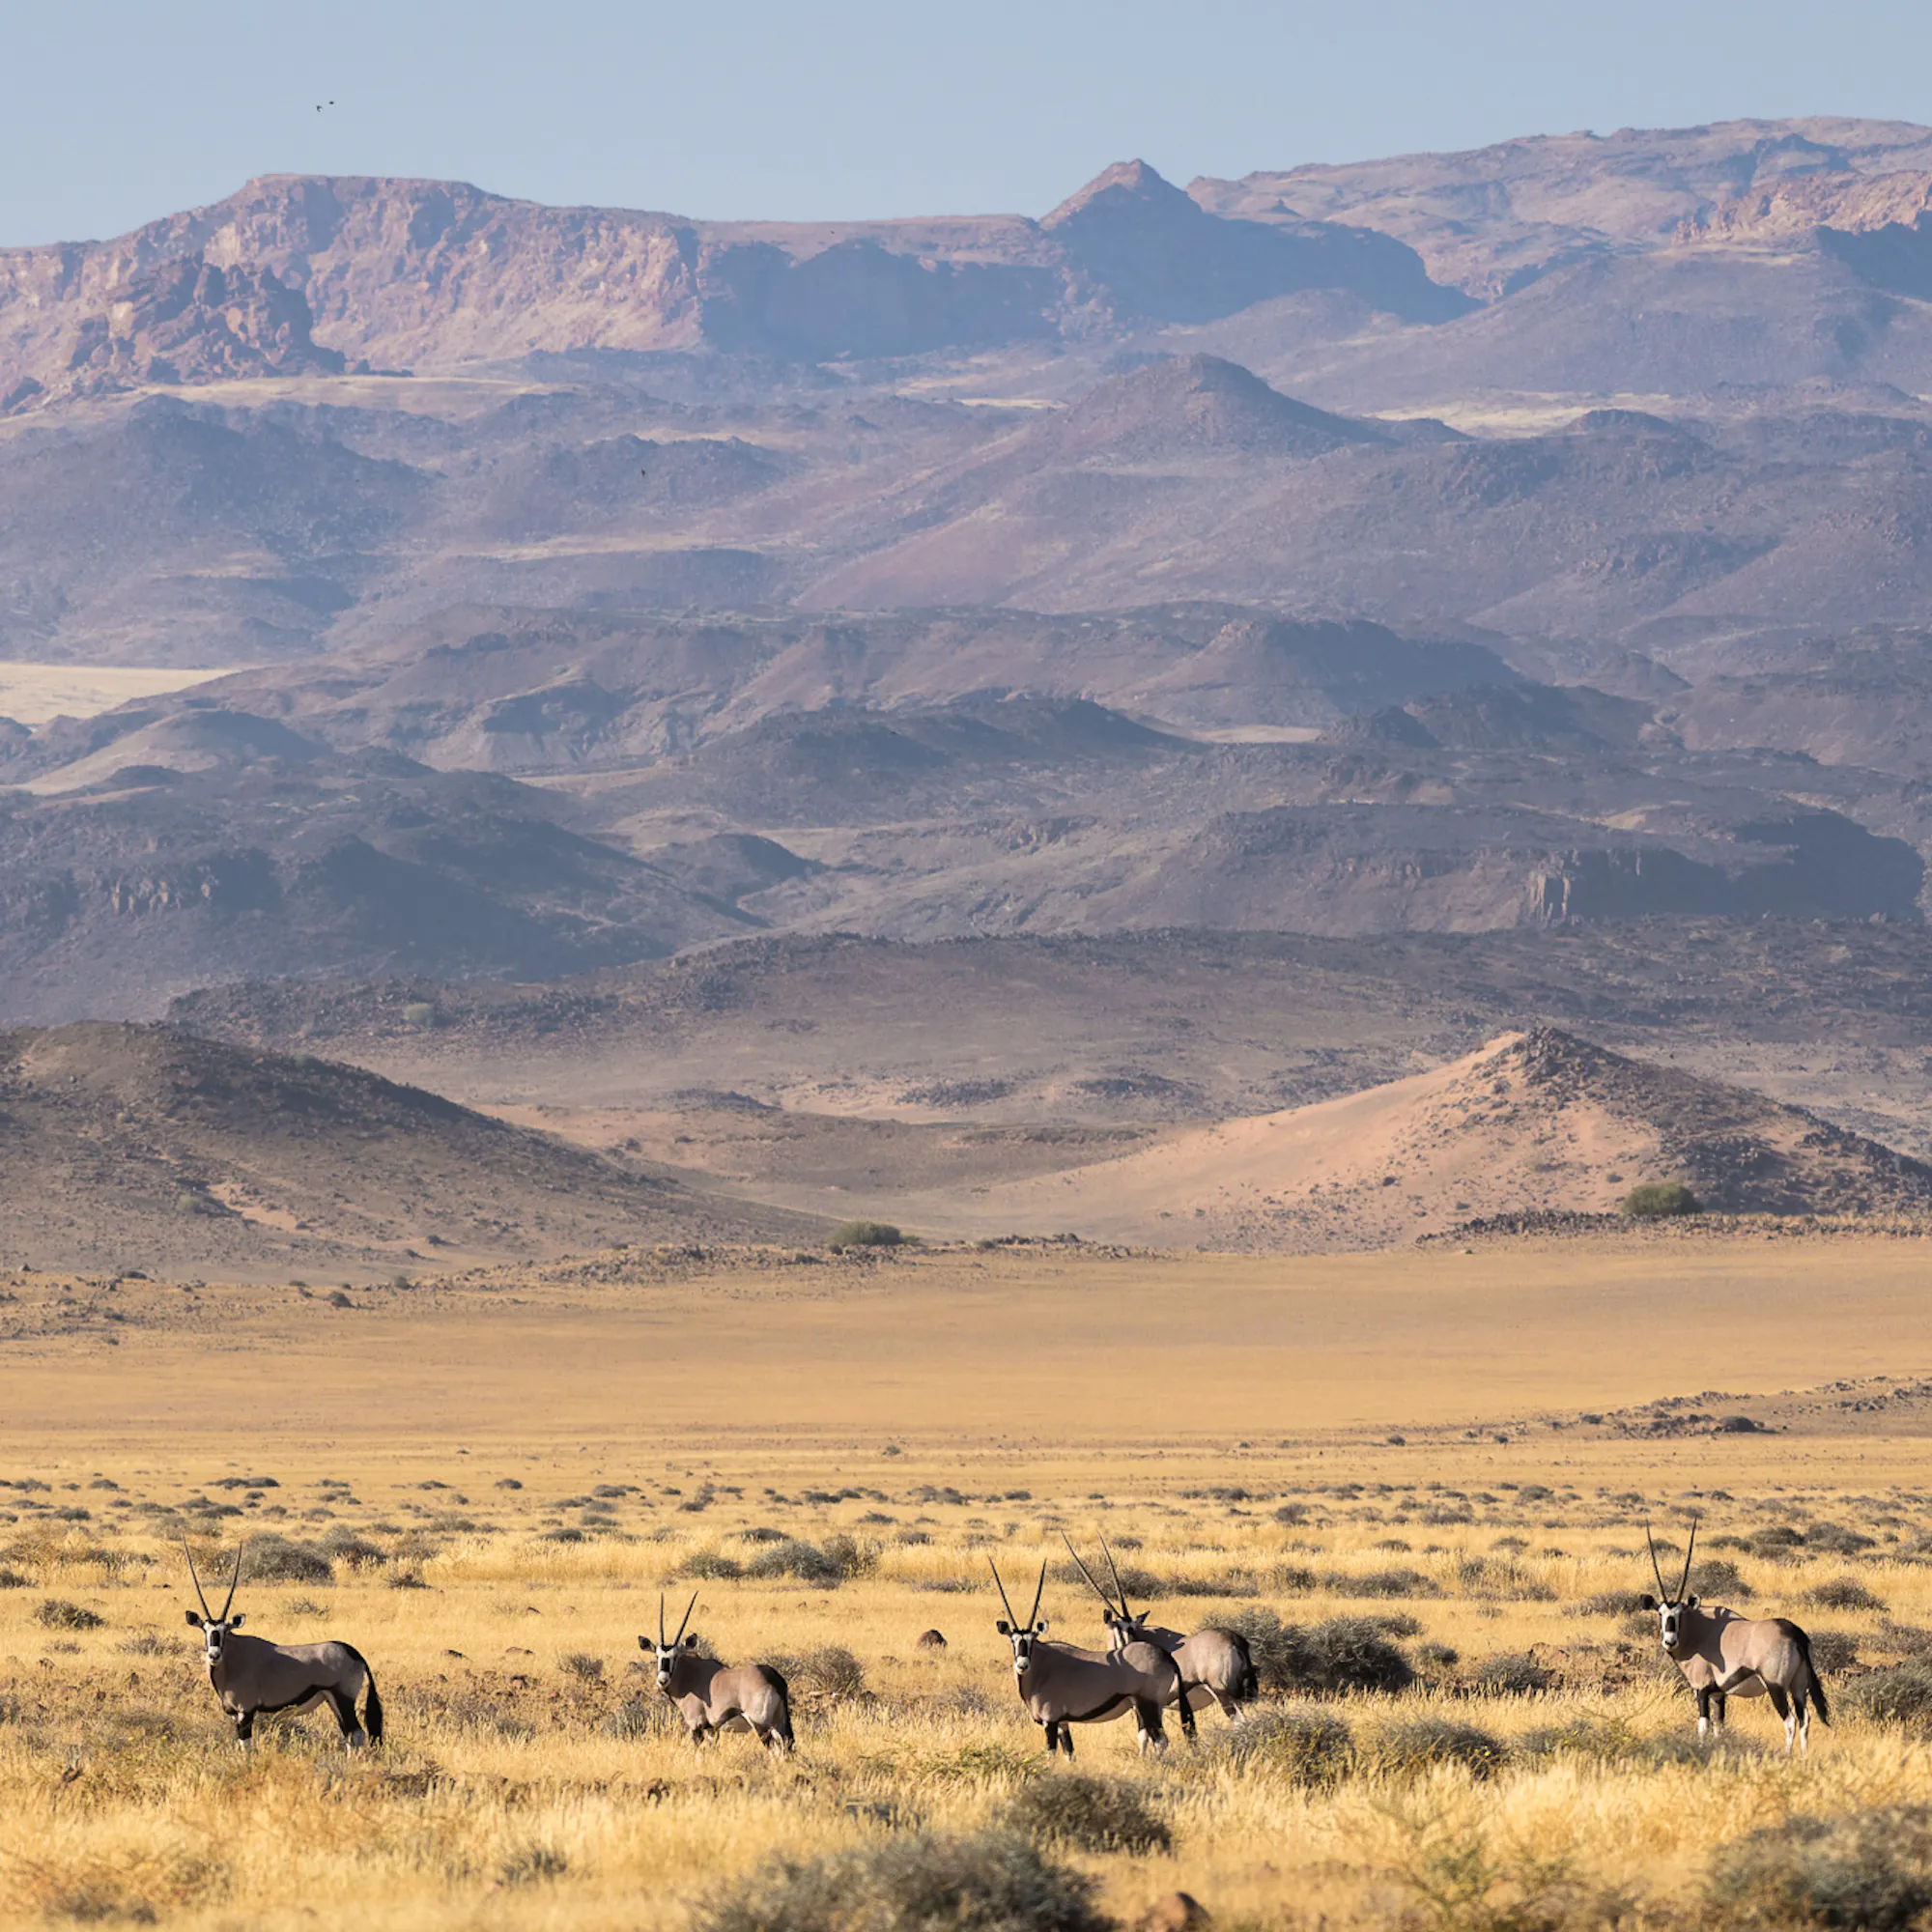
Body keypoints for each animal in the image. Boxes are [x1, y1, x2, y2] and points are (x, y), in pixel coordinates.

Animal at [182, 1539, 383, 1748]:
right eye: (204, 1630)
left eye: (225, 1631)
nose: (214, 1655)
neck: (233, 1660)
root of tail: (353, 1652)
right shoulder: (235, 1715)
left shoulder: (246, 1711)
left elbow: (246, 1746)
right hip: (332, 1701)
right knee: (350, 1736)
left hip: (344, 1699)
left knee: (357, 1734)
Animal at [641, 1591, 794, 1753]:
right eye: (656, 1656)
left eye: (675, 1657)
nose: (662, 1680)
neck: (690, 1675)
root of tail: (774, 1679)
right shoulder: (712, 1729)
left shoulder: (696, 1725)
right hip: (779, 1724)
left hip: (761, 1725)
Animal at [990, 1558, 1189, 1758]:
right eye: (1013, 1641)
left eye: (1032, 1640)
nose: (1022, 1665)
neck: (1042, 1669)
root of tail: (1165, 1656)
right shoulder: (1063, 1723)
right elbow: (1069, 1754)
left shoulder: (1050, 1721)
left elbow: (1050, 1755)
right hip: (1145, 1708)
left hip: (1148, 1705)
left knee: (1161, 1741)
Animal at [1638, 1520, 1830, 1754]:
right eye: (1660, 1614)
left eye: (1680, 1614)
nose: (1670, 1641)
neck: (1699, 1631)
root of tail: (1792, 1631)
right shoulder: (1719, 1694)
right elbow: (1719, 1728)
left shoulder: (1702, 1691)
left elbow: (1703, 1727)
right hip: (1799, 1686)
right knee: (1805, 1719)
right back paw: (1803, 1757)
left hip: (1776, 1686)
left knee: (1790, 1721)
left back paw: (1787, 1755)